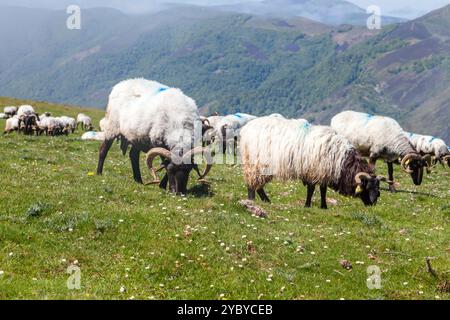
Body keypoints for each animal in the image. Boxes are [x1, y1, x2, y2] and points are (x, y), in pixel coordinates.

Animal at [239, 116, 384, 209]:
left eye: (377, 189)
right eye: (367, 187)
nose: (372, 204)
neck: (343, 161)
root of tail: (246, 129)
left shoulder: (323, 172)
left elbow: (323, 190)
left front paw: (323, 206)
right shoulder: (313, 170)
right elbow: (312, 189)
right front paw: (308, 205)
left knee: (258, 185)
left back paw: (266, 201)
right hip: (257, 164)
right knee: (253, 184)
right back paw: (252, 200)